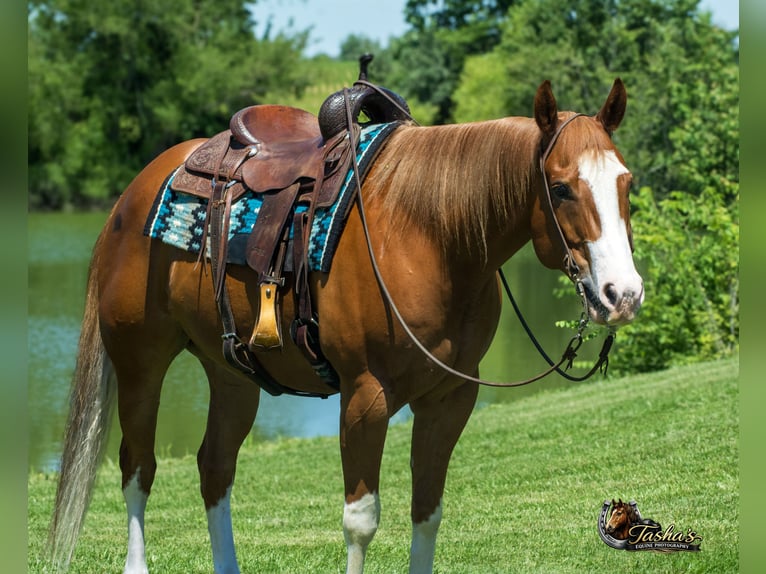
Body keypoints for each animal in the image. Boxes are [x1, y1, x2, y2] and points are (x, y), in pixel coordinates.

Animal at [48, 78, 643, 574]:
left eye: (627, 184)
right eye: (561, 188)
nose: (623, 294)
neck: (430, 235)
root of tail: (131, 196)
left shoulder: (450, 399)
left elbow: (427, 510)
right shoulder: (365, 395)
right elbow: (361, 522)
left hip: (232, 374)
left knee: (214, 467)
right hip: (139, 362)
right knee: (137, 468)